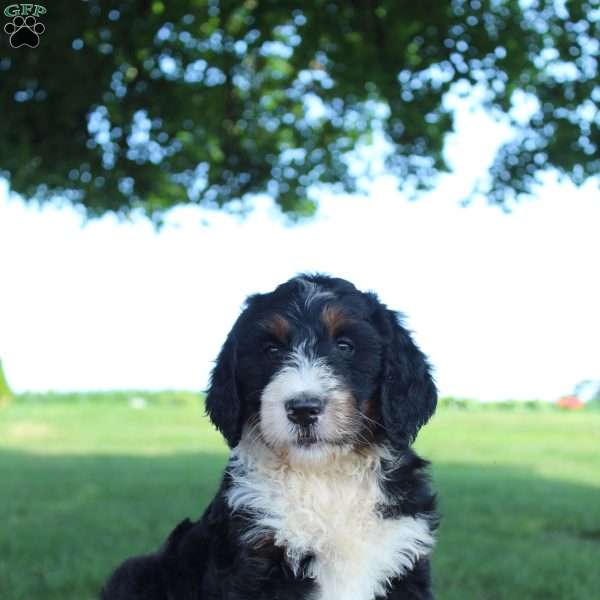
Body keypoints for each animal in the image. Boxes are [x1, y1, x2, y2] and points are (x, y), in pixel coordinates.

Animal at [103, 274, 438, 596]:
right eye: (271, 350)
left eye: (345, 346)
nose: (303, 409)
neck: (324, 478)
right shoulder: (255, 558)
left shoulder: (403, 554)